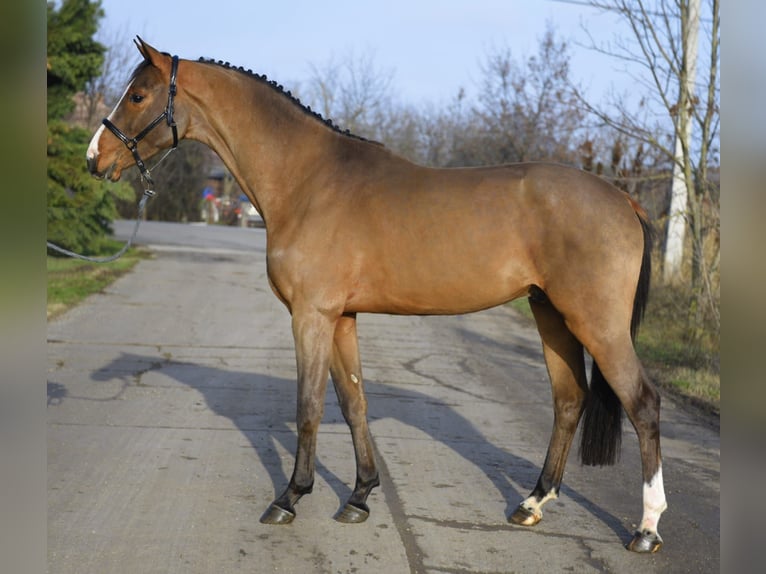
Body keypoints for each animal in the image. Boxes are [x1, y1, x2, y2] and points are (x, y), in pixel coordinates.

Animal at [86, 38, 666, 553]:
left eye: (138, 96)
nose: (95, 157)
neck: (308, 181)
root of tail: (623, 198)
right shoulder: (342, 317)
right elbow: (354, 402)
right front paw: (360, 496)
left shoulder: (311, 316)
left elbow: (309, 406)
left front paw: (290, 498)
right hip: (550, 314)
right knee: (569, 400)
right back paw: (531, 504)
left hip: (596, 323)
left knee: (642, 403)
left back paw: (646, 529)